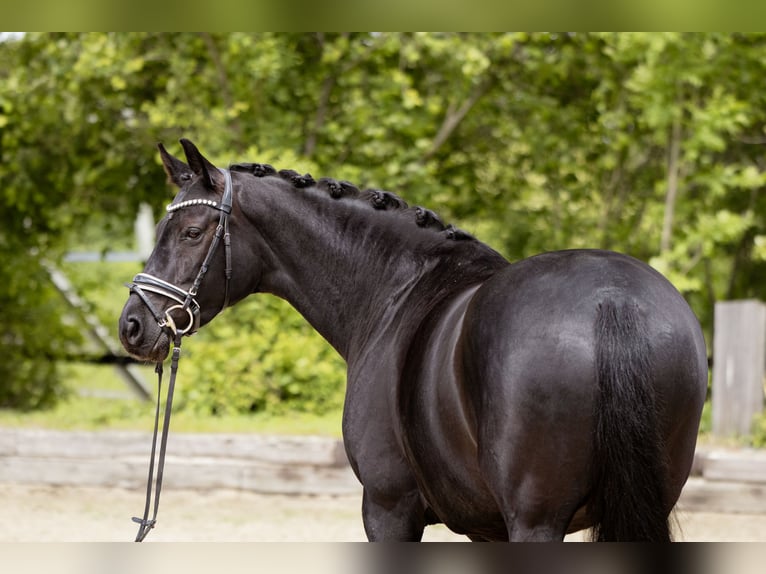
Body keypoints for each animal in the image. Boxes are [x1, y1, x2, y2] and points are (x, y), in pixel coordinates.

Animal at [118, 138, 708, 541]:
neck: (396, 288)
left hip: (536, 521)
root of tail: (611, 299)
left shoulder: (387, 508)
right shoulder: (484, 526)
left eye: (192, 233)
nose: (133, 325)